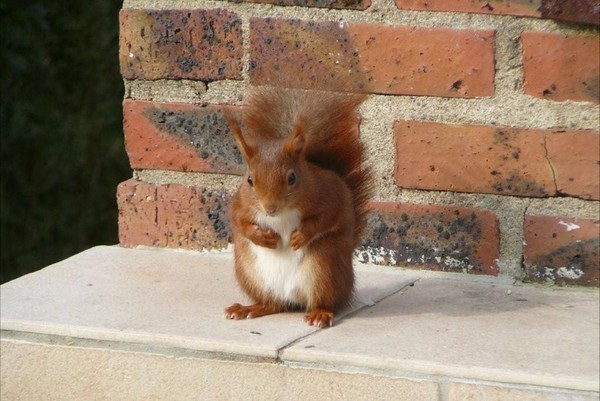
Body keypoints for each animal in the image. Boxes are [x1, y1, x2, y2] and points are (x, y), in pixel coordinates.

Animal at [221, 89, 370, 326]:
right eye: (249, 180)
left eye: (292, 178)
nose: (270, 208)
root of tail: (293, 298)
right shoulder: (240, 204)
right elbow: (238, 221)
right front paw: (260, 236)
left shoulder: (330, 195)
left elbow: (327, 218)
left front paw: (300, 236)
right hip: (250, 274)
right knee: (273, 304)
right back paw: (250, 308)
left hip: (324, 267)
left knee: (325, 300)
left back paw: (320, 313)